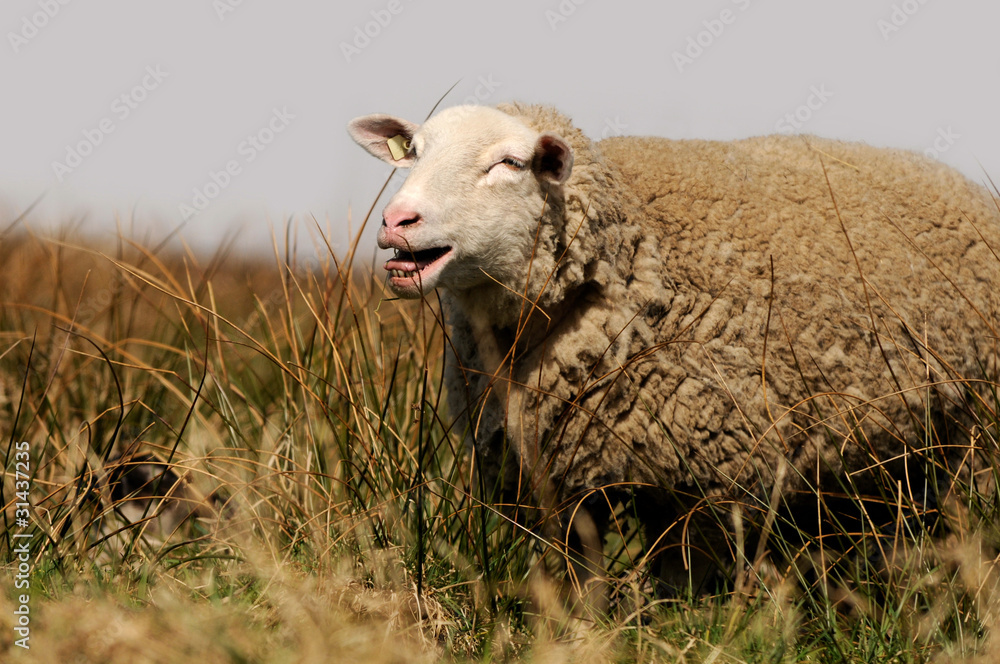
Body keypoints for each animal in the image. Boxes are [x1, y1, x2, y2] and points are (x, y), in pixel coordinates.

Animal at [347, 102, 1000, 600]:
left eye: (509, 163)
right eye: (413, 152)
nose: (398, 221)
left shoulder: (711, 476)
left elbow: (685, 582)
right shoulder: (557, 482)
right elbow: (579, 579)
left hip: (977, 435)